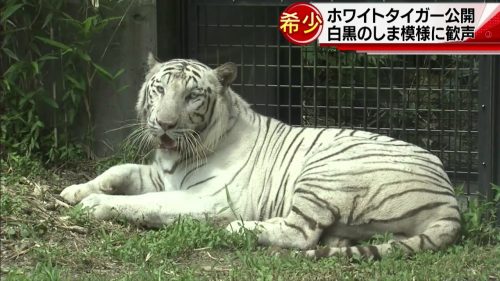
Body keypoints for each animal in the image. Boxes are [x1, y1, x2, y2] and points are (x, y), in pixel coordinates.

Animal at [61, 53, 460, 258]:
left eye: (192, 96)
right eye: (159, 89)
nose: (164, 124)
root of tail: (451, 199)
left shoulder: (209, 198)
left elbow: (148, 204)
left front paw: (95, 205)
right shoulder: (161, 174)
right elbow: (118, 170)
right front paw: (74, 191)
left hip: (324, 173)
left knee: (301, 233)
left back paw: (240, 229)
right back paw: (339, 241)